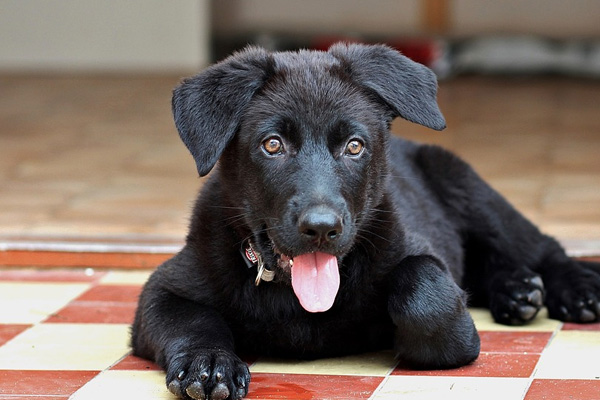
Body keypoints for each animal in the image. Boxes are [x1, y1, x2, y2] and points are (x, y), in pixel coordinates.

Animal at [132, 43, 600, 400]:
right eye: (273, 145)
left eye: (354, 146)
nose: (322, 228)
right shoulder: (163, 288)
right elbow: (192, 320)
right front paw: (210, 363)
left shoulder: (418, 250)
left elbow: (426, 294)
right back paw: (516, 291)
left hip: (473, 192)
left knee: (543, 249)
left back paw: (573, 291)